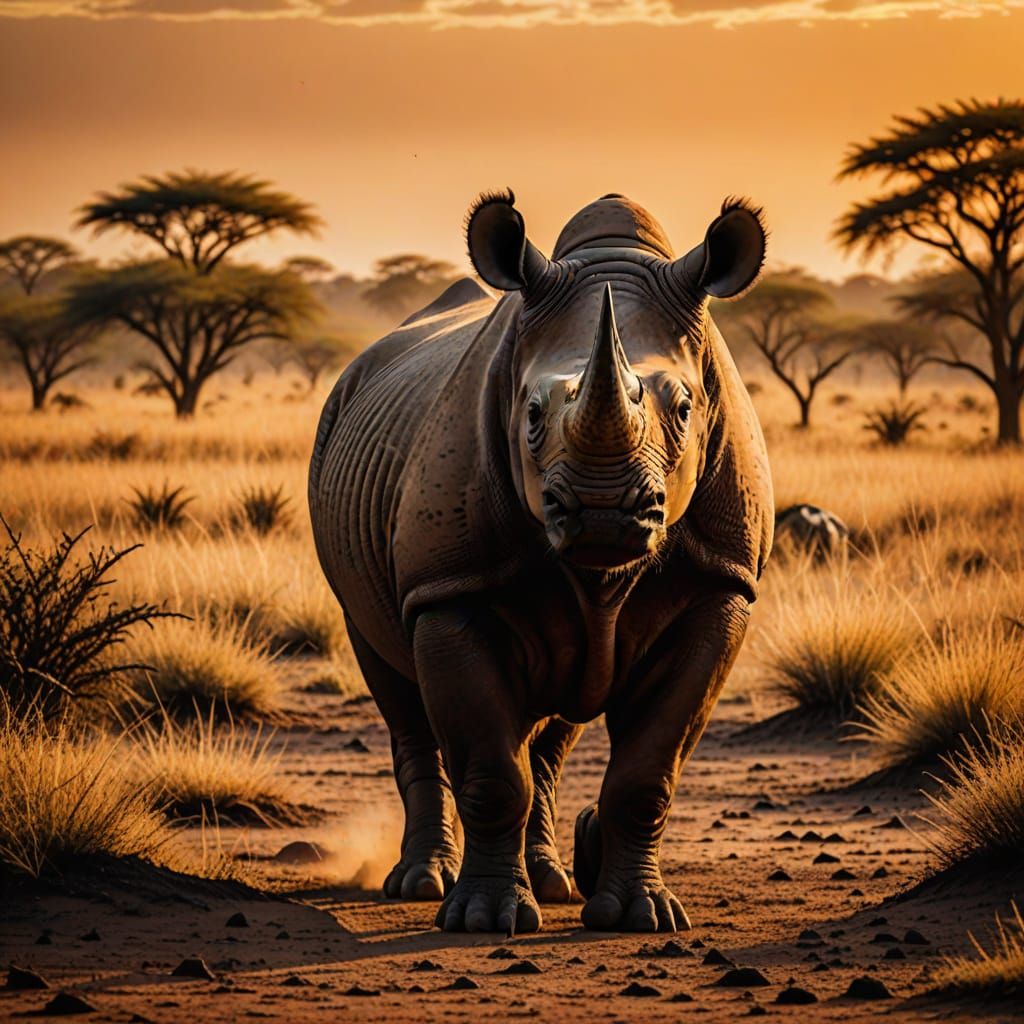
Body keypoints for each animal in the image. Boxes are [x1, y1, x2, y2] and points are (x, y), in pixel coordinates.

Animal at [309, 191, 773, 934]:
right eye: (529, 412)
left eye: (684, 408)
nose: (604, 509)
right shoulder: (449, 587)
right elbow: (494, 772)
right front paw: (483, 920)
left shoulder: (721, 585)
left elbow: (650, 771)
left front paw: (643, 916)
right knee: (397, 690)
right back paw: (420, 884)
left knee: (554, 733)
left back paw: (555, 883)